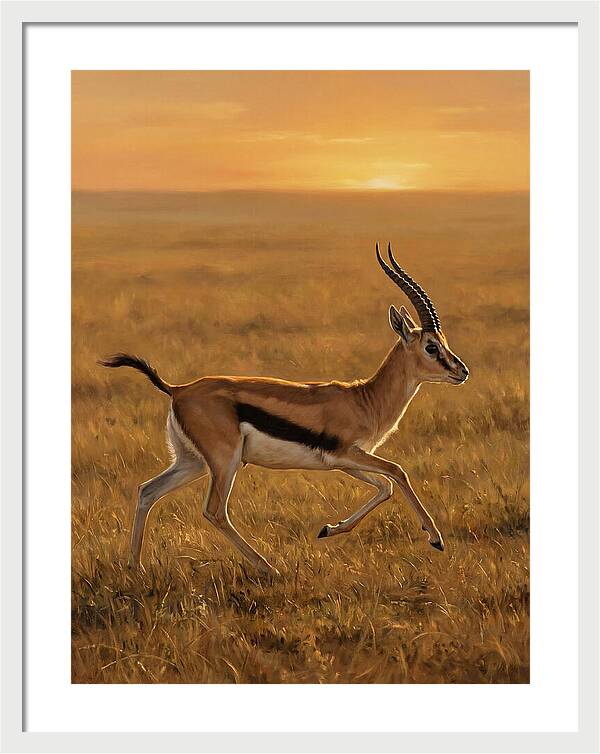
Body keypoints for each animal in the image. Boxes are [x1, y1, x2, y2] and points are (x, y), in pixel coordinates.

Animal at [100, 243, 469, 576]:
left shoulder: (344, 461)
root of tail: (178, 389)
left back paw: (135, 567)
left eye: (444, 342)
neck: (365, 399)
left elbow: (385, 487)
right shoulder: (348, 453)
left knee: (147, 491)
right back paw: (269, 568)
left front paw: (328, 529)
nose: (462, 371)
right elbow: (397, 472)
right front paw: (436, 539)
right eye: (431, 347)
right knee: (215, 511)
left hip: (192, 462)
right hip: (224, 461)